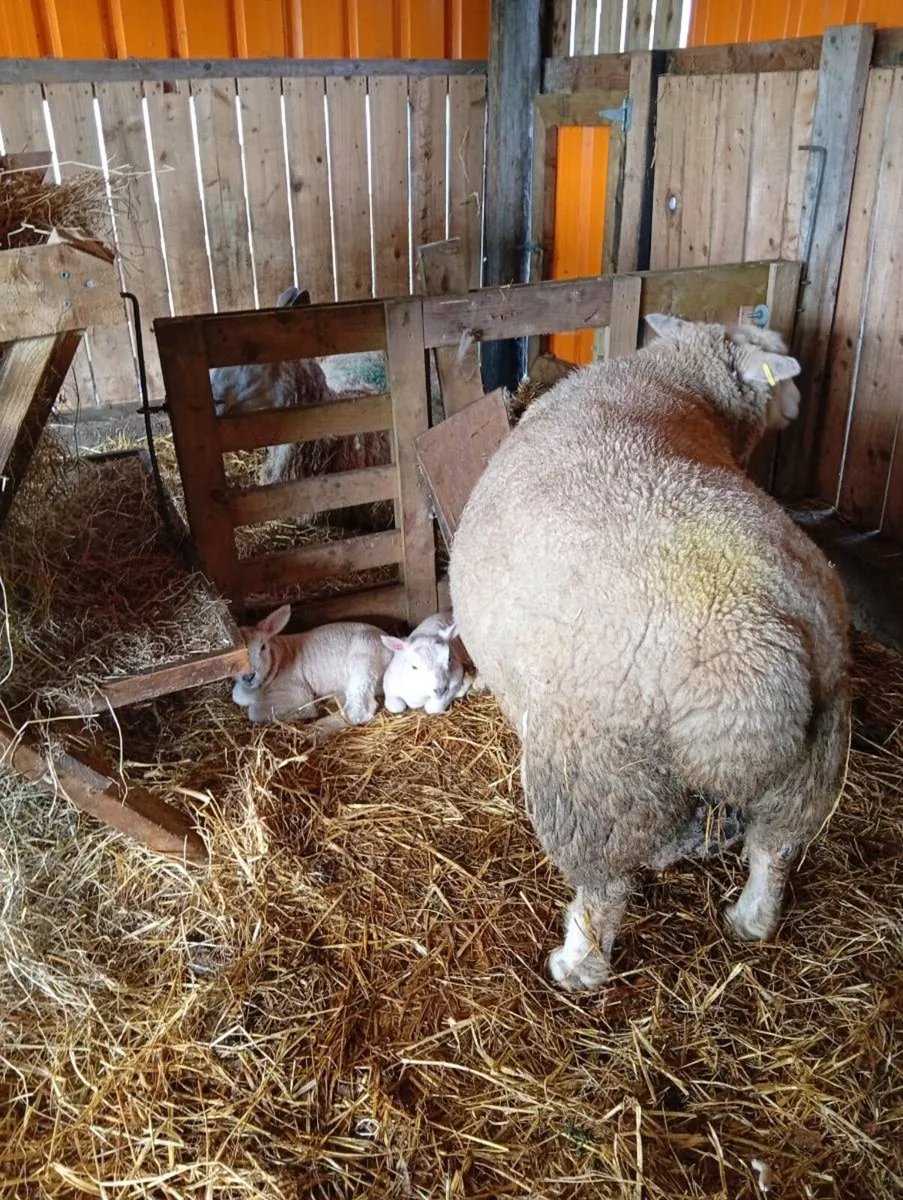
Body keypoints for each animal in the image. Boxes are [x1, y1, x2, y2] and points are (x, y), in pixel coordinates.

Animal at [231, 604, 392, 738]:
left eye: (263, 647)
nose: (249, 676)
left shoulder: (296, 693)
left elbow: (254, 712)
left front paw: (304, 712)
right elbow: (236, 695)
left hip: (365, 658)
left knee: (359, 708)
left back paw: (319, 729)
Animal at [449, 314, 850, 992]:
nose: (797, 401)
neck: (670, 380)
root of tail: (765, 649)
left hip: (594, 773)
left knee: (606, 885)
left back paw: (578, 965)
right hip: (815, 756)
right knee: (774, 848)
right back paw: (751, 919)